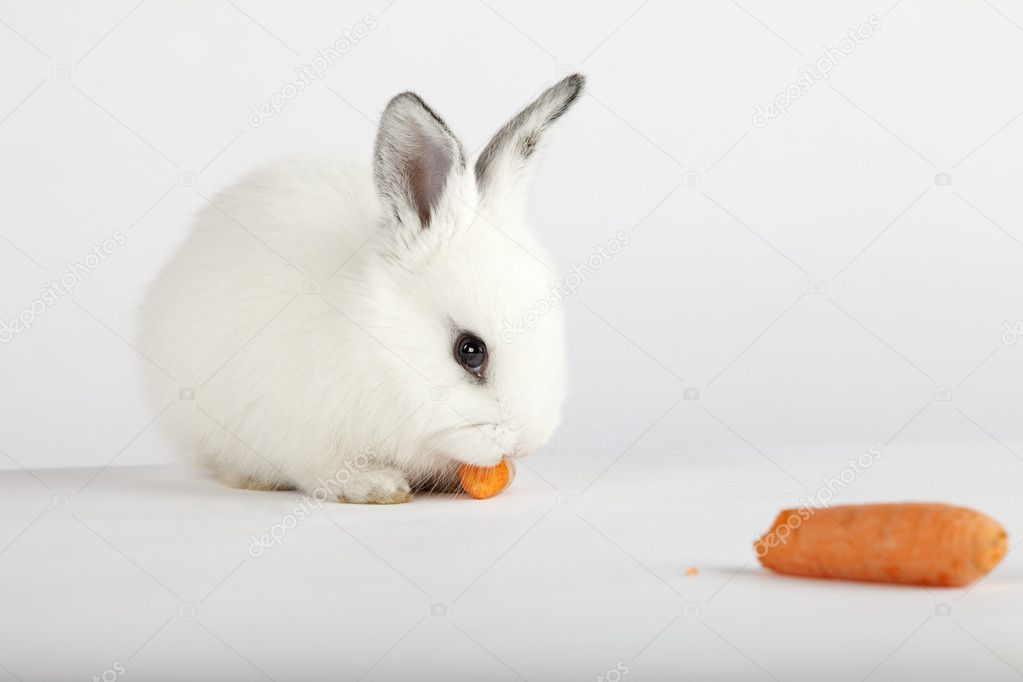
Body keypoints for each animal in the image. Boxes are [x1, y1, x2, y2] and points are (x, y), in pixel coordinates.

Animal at [137, 74, 585, 503]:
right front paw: (375, 487)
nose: (525, 441)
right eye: (469, 351)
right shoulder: (304, 433)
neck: (381, 341)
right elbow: (325, 470)